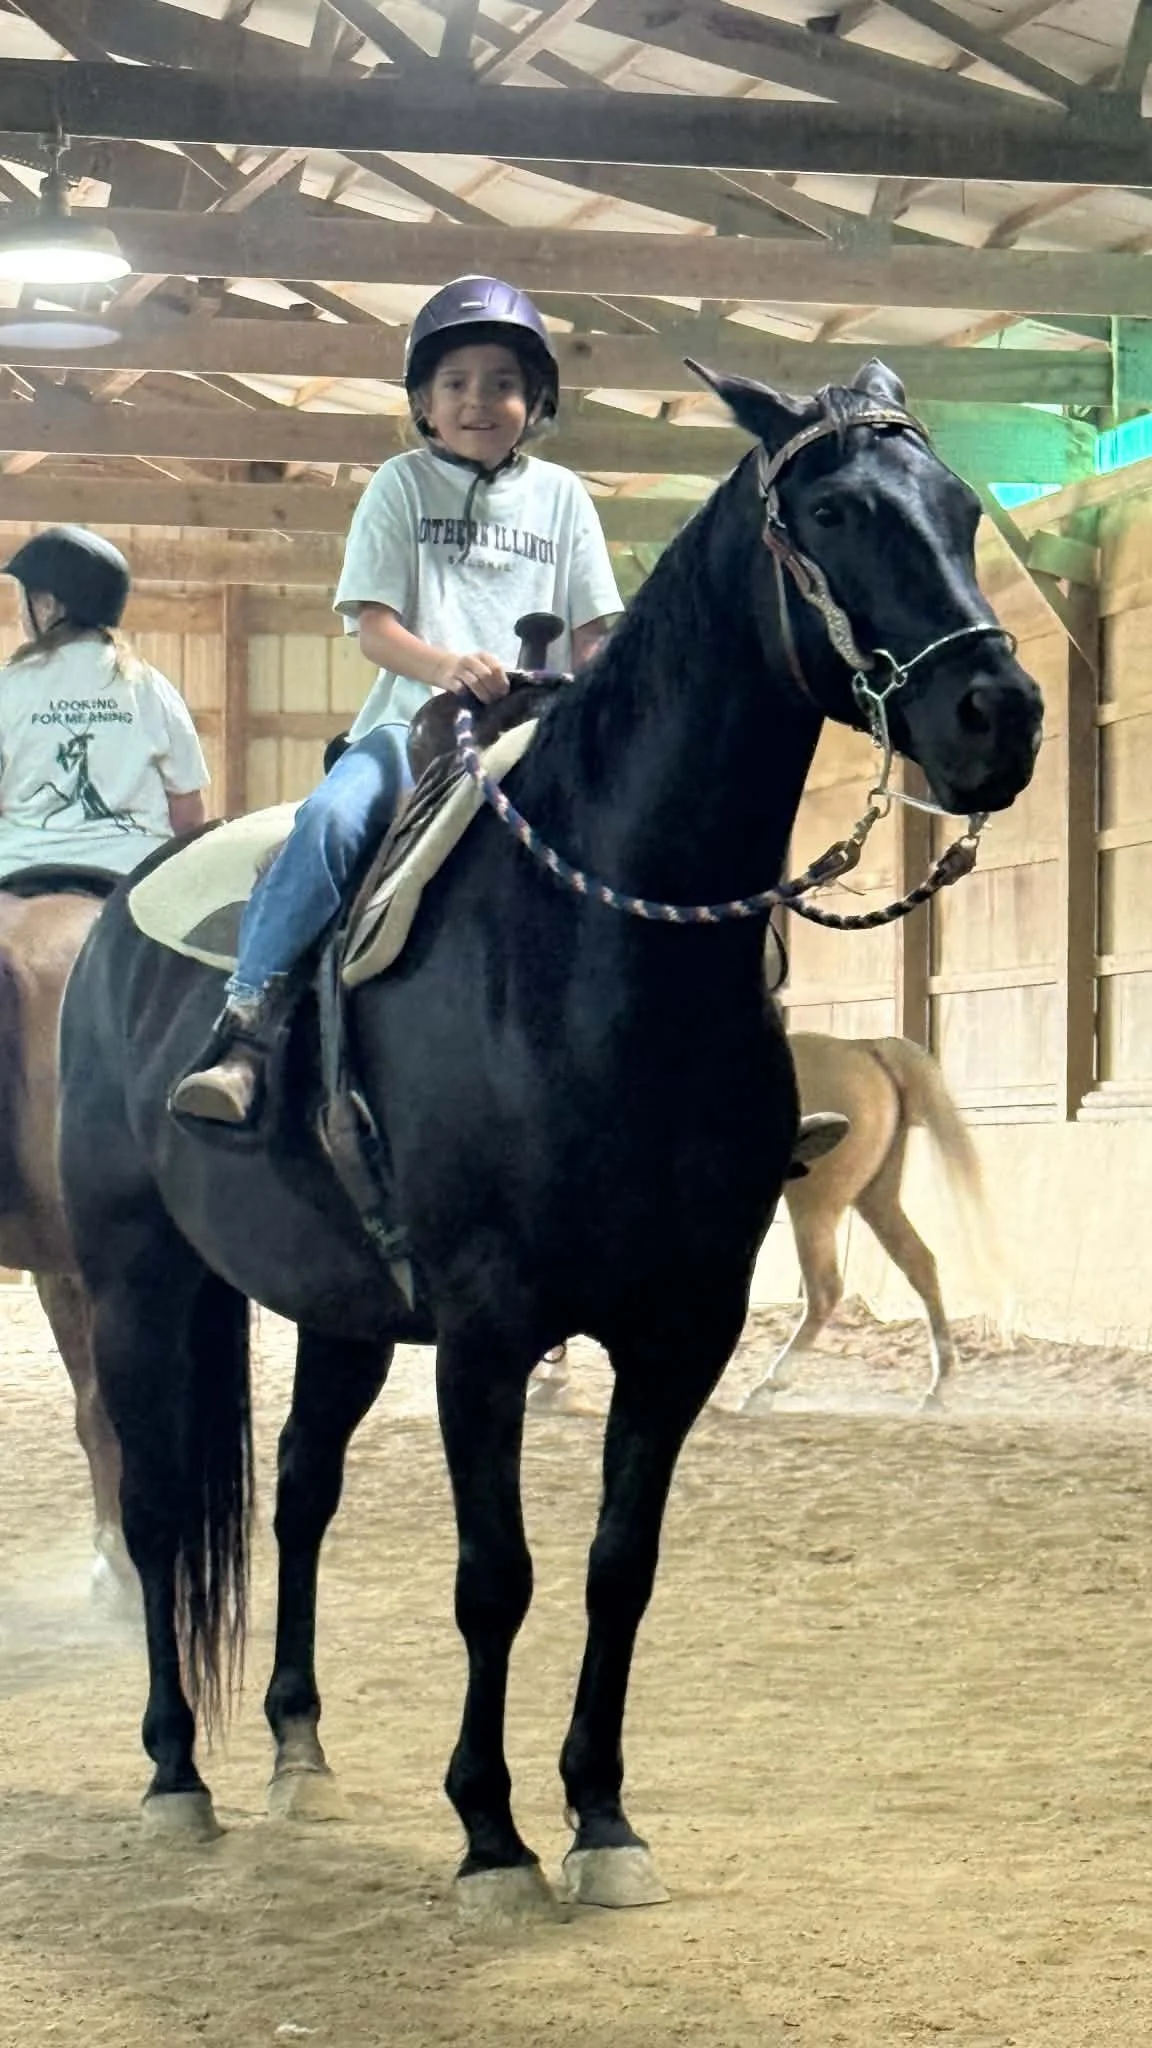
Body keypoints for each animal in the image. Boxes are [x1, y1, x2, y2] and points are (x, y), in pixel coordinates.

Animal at [56, 359, 1042, 1914]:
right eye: (833, 510)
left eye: (955, 505)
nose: (997, 714)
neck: (595, 950)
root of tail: (113, 922)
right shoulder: (486, 1330)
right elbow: (494, 1576)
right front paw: (493, 1832)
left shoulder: (682, 1327)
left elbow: (615, 1567)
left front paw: (603, 1819)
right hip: (134, 1272)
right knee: (157, 1505)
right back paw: (175, 1774)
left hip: (338, 1313)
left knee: (298, 1496)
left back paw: (297, 1753)